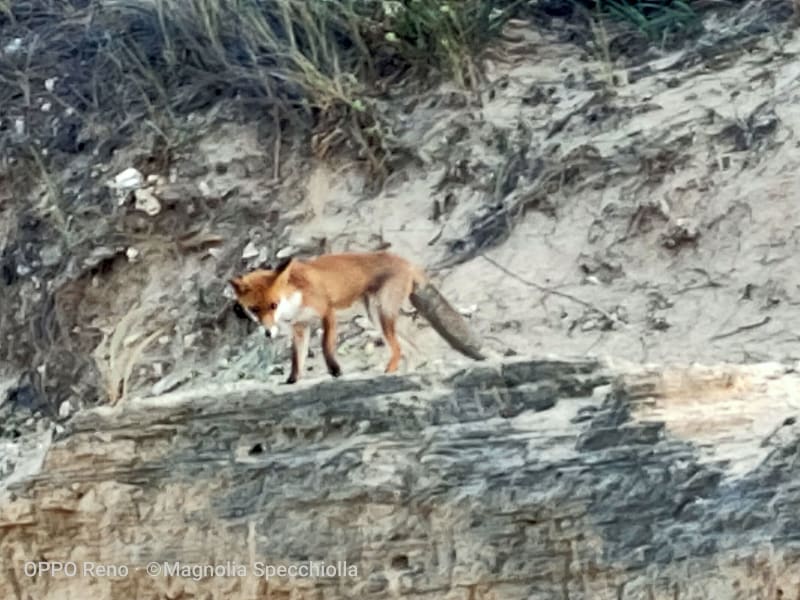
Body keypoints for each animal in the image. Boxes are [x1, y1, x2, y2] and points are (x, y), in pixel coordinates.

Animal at [229, 251, 485, 384]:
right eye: (254, 309)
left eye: (273, 305)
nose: (268, 333)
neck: (295, 297)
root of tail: (407, 262)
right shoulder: (300, 328)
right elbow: (296, 360)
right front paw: (292, 381)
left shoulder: (327, 312)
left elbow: (325, 346)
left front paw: (335, 371)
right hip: (378, 318)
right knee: (413, 349)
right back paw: (406, 372)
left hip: (381, 315)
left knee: (399, 349)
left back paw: (388, 371)